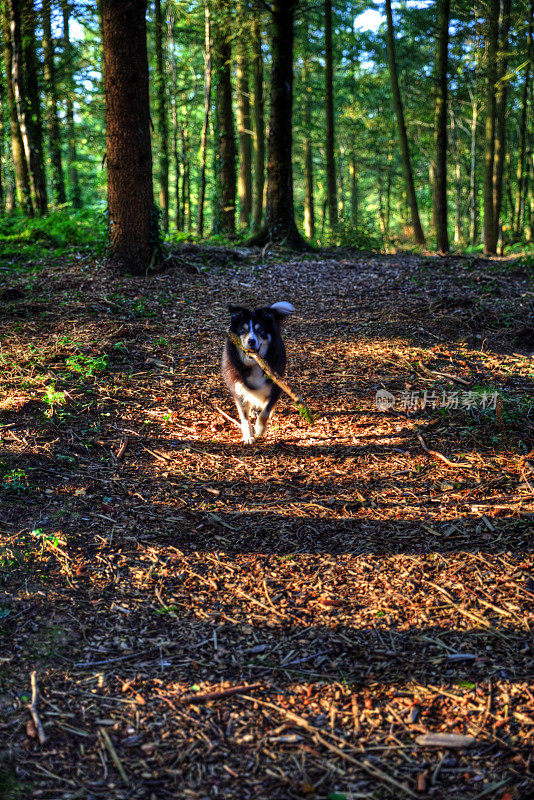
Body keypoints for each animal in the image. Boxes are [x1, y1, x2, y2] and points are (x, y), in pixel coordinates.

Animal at [223, 304, 298, 446]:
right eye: (242, 330)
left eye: (260, 331)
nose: (251, 341)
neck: (255, 364)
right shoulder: (238, 390)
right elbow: (244, 418)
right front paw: (248, 436)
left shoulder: (275, 386)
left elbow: (265, 412)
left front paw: (259, 429)